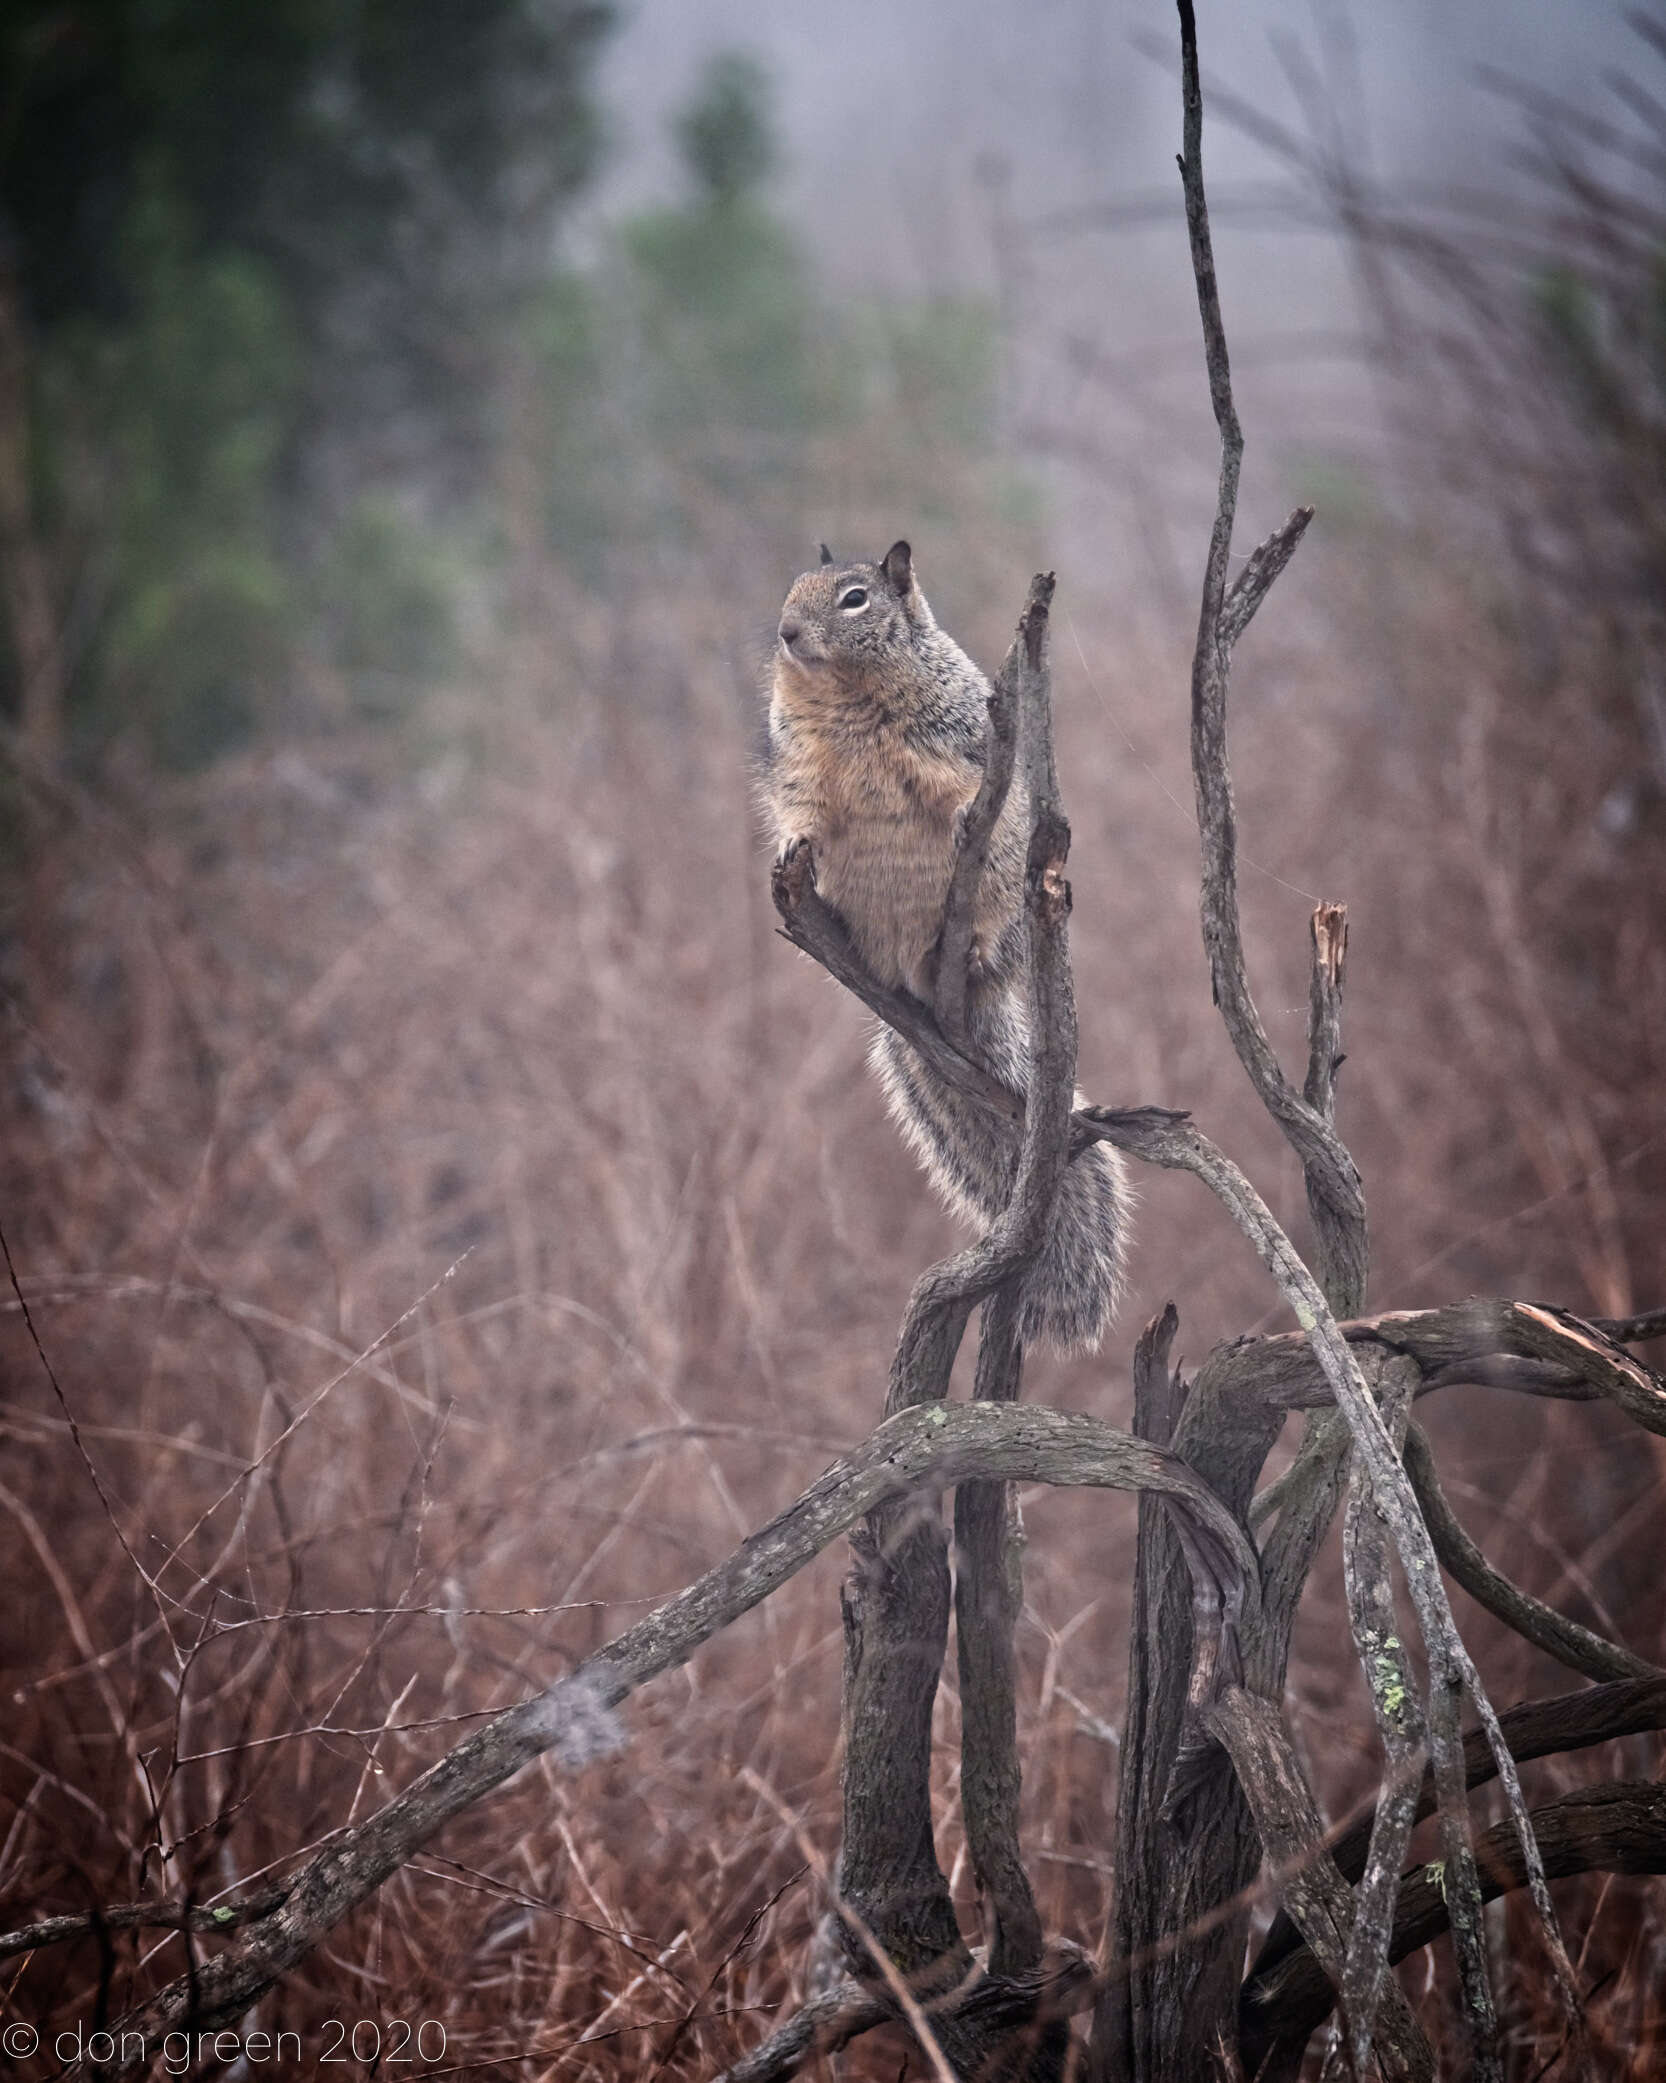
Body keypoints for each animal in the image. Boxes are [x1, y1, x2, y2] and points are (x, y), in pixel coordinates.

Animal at [766, 537, 1132, 1349]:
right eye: (792, 586)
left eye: (856, 599)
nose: (786, 633)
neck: (846, 687)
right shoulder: (797, 766)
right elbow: (801, 807)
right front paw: (791, 847)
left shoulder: (962, 734)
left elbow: (963, 782)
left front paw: (965, 812)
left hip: (1001, 907)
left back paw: (967, 952)